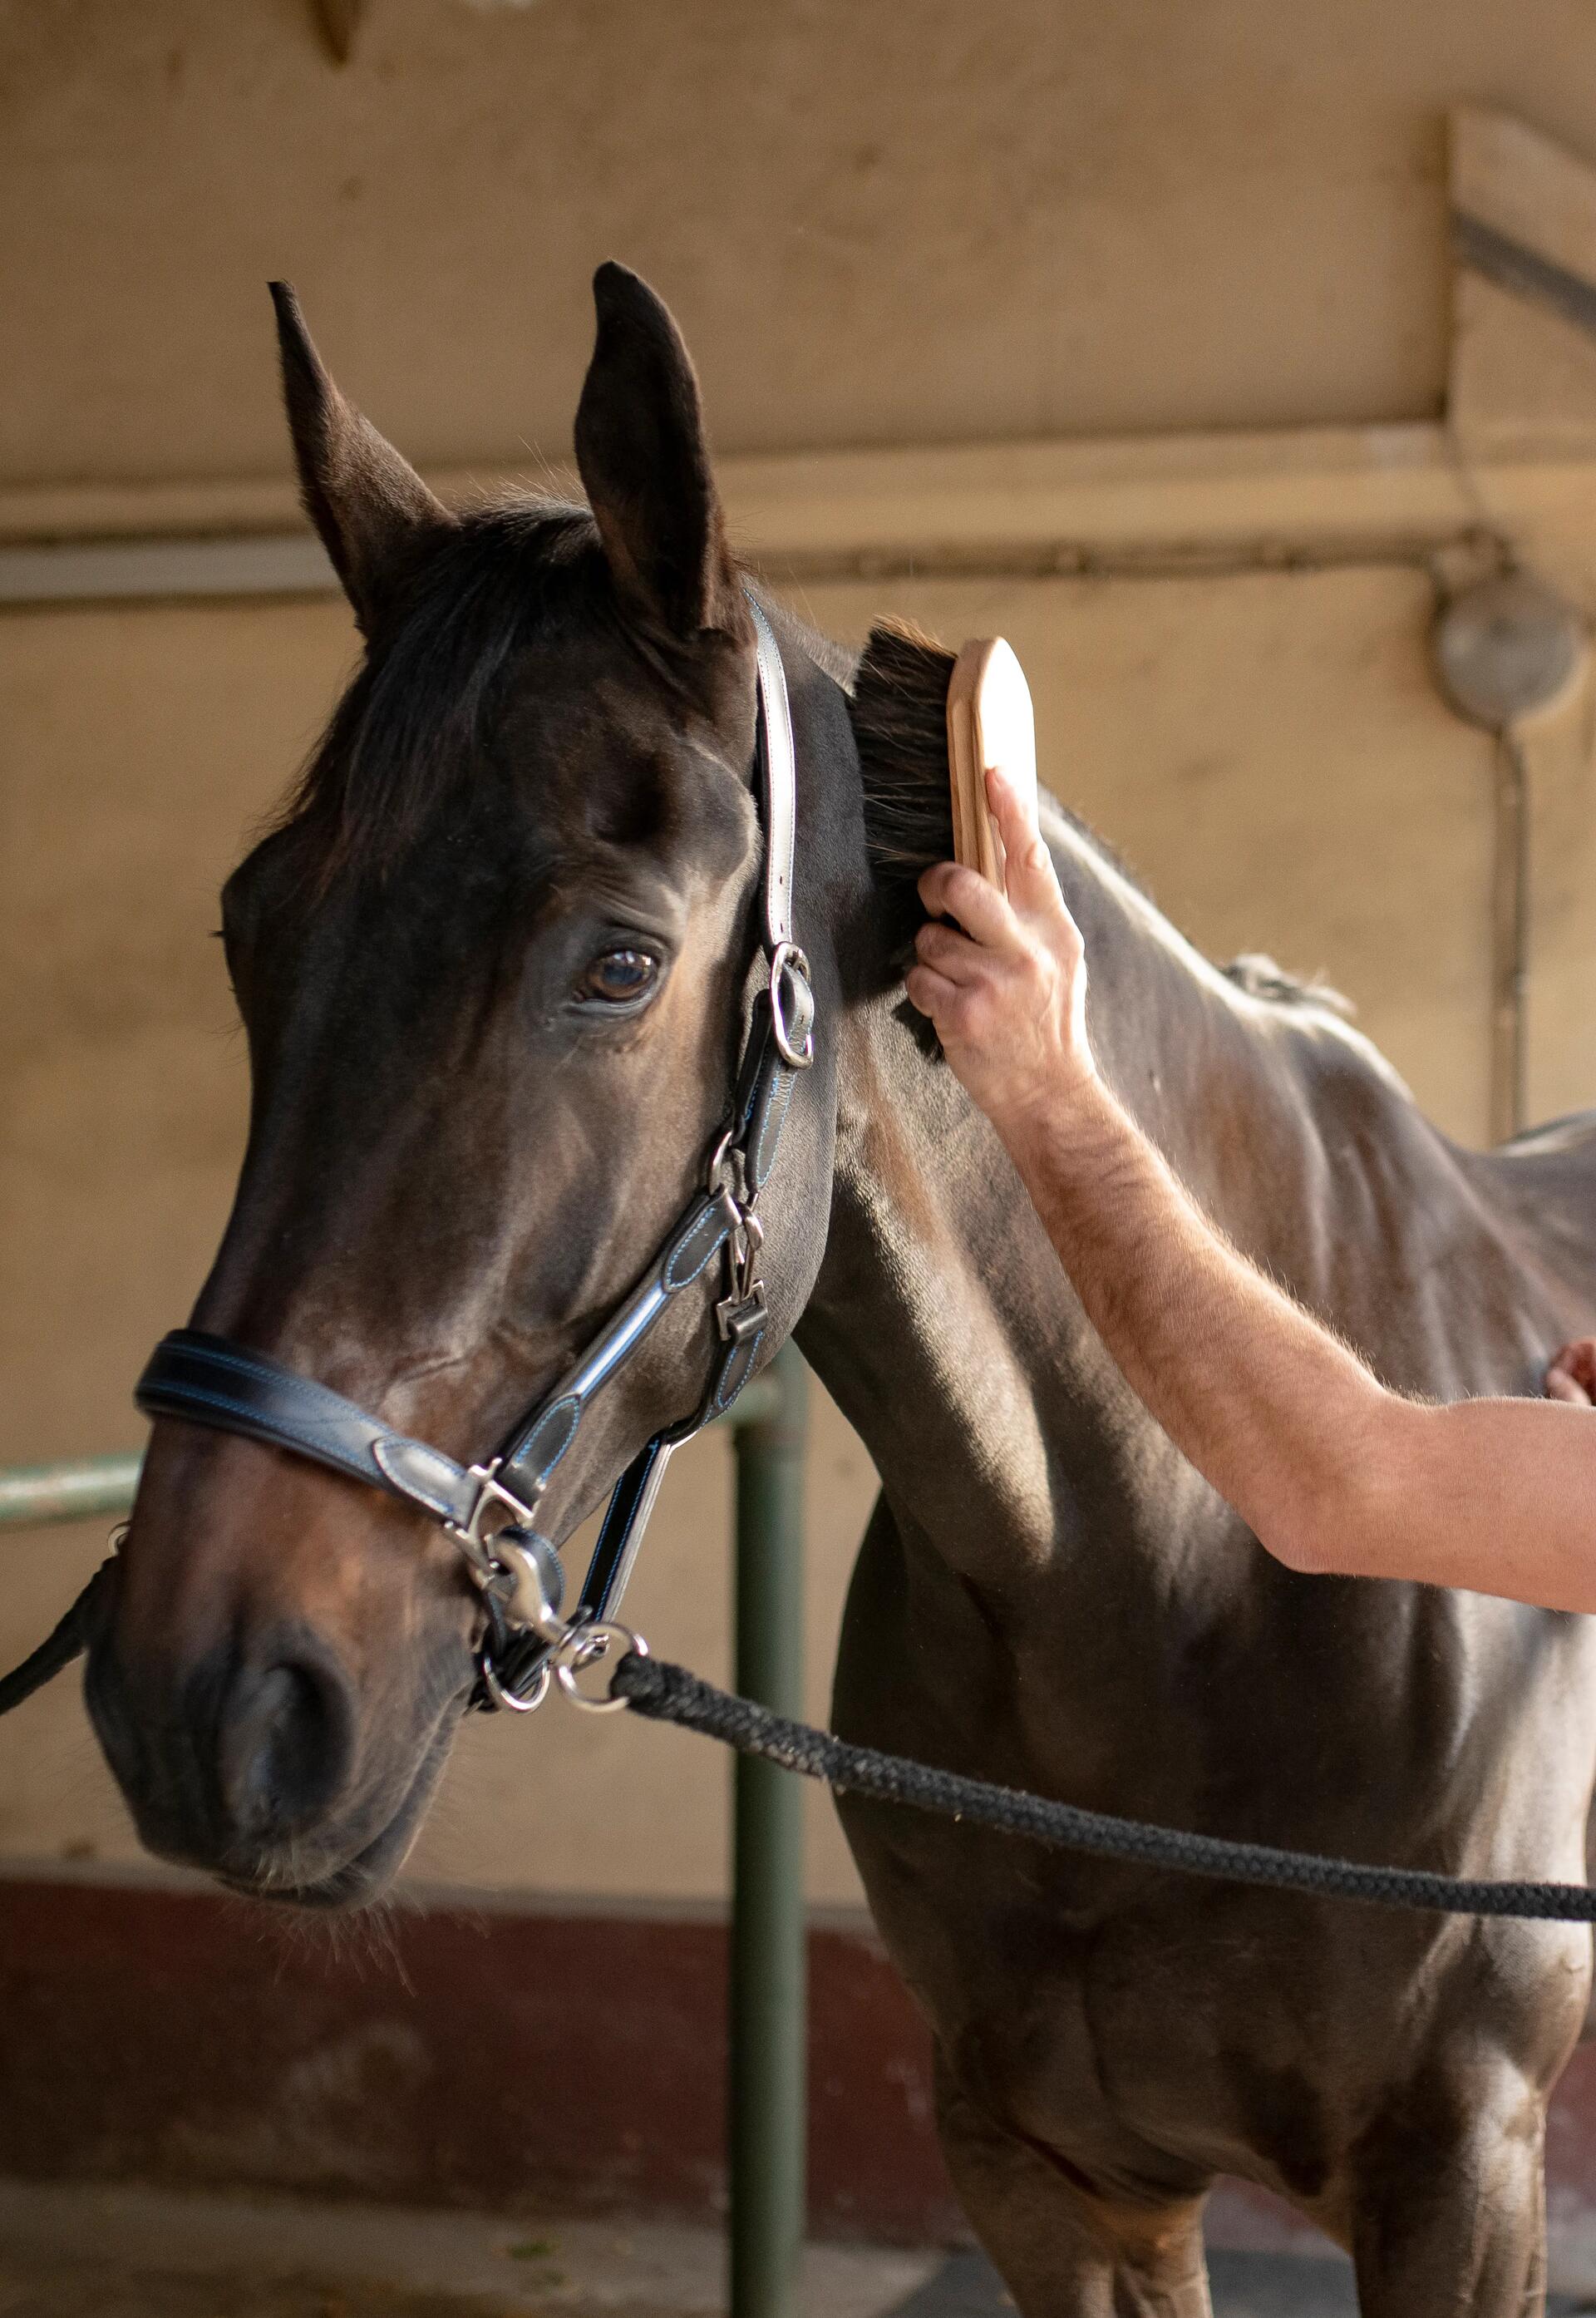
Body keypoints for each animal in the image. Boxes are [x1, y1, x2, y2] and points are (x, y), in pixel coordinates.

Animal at [90, 266, 1596, 2299]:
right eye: (255, 928)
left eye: (622, 961)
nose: (208, 1695)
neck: (1169, 1592)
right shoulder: (1050, 2170)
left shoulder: (1463, 2176)